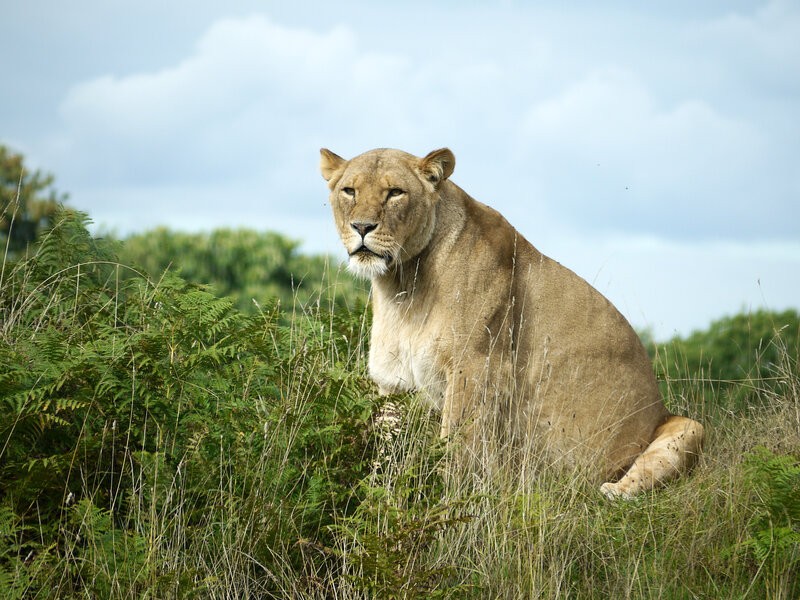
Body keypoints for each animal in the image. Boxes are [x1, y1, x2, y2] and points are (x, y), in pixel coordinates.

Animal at [319, 147, 704, 498]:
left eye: (395, 192)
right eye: (349, 191)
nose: (362, 227)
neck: (403, 284)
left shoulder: (477, 367)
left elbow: (455, 450)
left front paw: (442, 500)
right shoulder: (392, 381)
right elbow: (385, 453)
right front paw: (377, 496)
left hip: (691, 426)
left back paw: (599, 491)